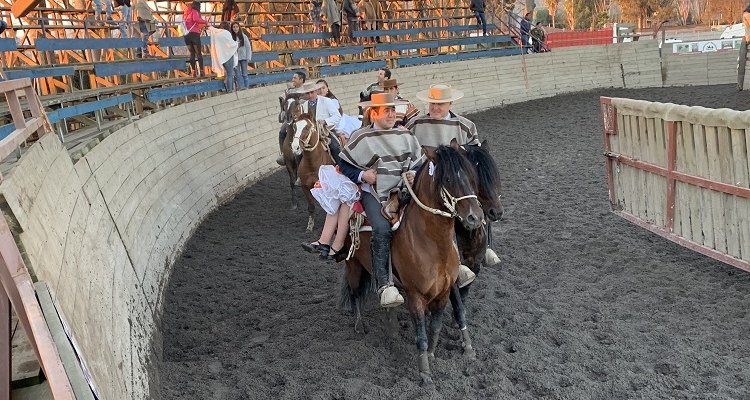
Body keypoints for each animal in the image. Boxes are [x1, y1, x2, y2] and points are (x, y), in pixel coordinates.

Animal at [338, 140, 484, 388]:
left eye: (471, 175)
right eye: (447, 179)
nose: (475, 217)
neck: (431, 245)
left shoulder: (444, 292)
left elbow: (436, 326)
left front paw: (433, 355)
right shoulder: (415, 296)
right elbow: (421, 335)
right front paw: (425, 374)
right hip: (354, 265)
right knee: (356, 293)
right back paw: (359, 326)